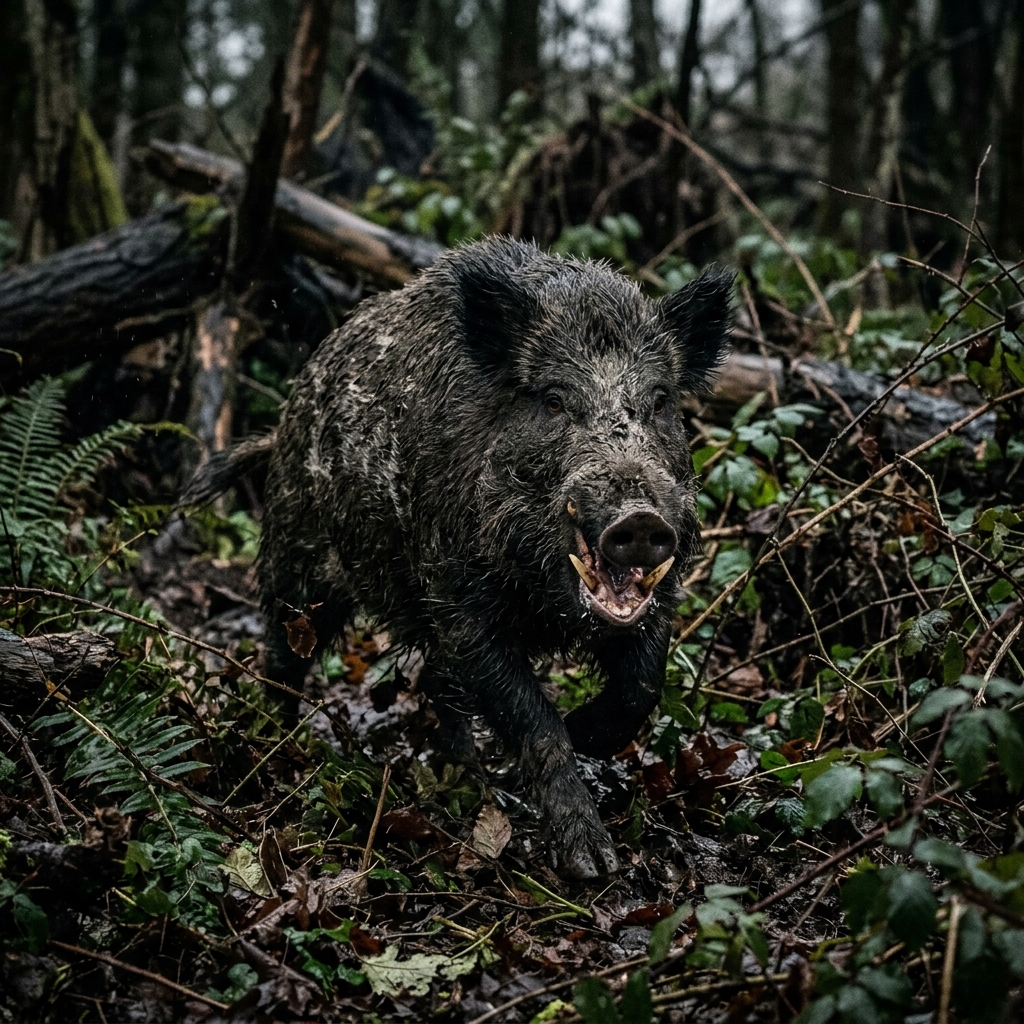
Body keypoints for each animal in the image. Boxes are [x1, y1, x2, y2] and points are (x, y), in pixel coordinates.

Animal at [185, 237, 732, 878]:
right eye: (553, 399)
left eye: (661, 401)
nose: (640, 519)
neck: (543, 601)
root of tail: (284, 421)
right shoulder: (459, 602)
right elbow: (534, 719)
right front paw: (591, 863)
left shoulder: (655, 601)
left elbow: (640, 689)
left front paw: (581, 741)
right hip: (297, 556)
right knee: (282, 650)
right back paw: (280, 740)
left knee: (436, 684)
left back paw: (466, 776)